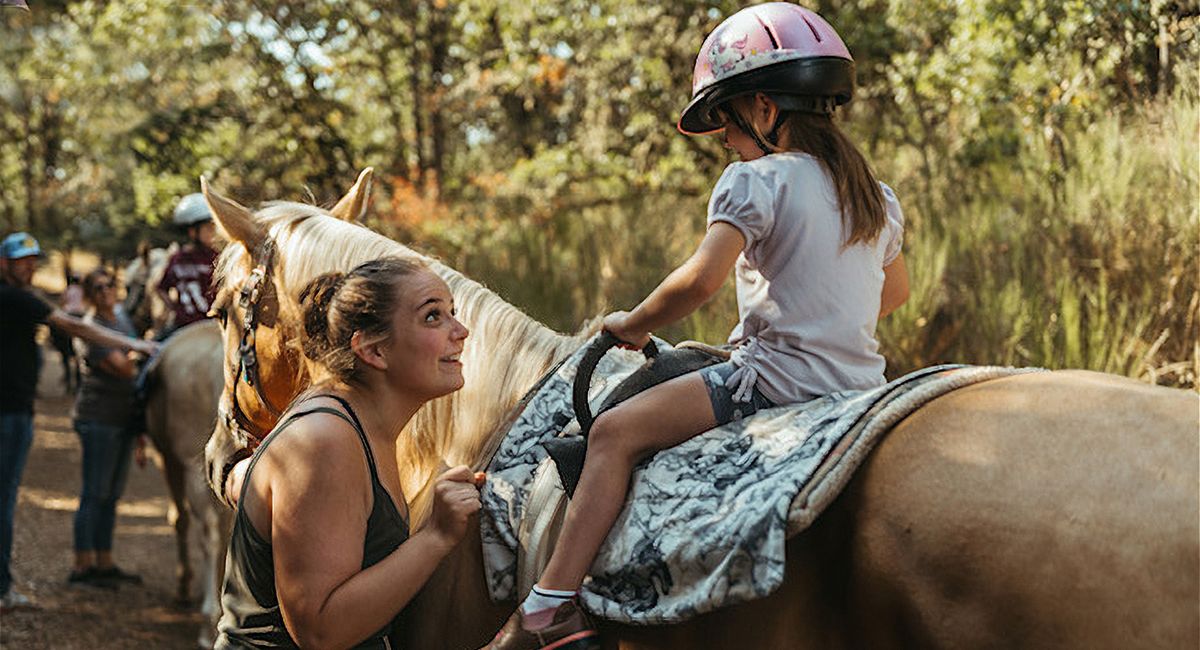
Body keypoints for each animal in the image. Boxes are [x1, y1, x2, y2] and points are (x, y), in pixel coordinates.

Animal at [140, 319, 229, 647]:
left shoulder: (168, 459)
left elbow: (179, 519)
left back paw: (208, 623)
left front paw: (184, 585)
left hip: (191, 468)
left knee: (207, 535)